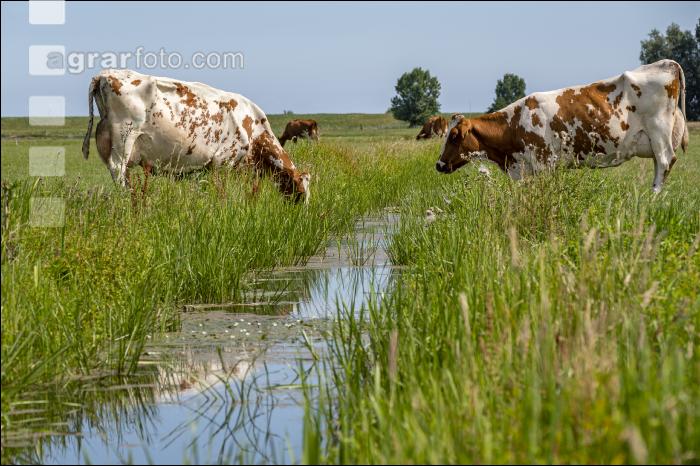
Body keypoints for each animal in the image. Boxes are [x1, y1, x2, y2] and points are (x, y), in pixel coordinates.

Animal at [82, 68, 312, 202]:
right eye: (302, 193)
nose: (303, 216)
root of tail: (105, 74)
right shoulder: (223, 162)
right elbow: (221, 193)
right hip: (124, 138)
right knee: (118, 170)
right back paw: (129, 200)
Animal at [438, 60, 688, 193]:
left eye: (454, 136)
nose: (438, 165)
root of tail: (667, 63)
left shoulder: (544, 162)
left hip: (659, 131)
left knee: (665, 162)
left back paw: (652, 198)